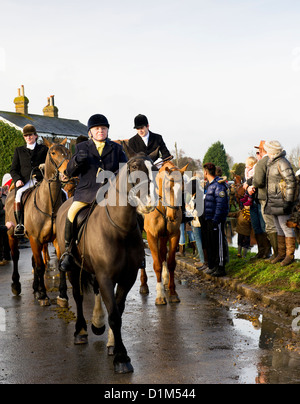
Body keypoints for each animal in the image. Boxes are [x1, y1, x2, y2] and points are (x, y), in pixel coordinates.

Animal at [5, 140, 69, 306]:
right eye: (53, 153)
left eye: (67, 151)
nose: (67, 172)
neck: (49, 204)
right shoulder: (35, 239)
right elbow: (40, 267)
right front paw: (42, 295)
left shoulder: (55, 239)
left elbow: (58, 265)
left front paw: (62, 295)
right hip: (12, 235)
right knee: (16, 256)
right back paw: (16, 285)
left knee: (34, 260)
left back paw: (35, 288)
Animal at [54, 152, 156, 376]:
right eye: (133, 168)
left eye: (154, 169)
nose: (149, 202)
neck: (120, 229)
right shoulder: (105, 276)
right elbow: (115, 316)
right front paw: (121, 358)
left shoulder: (127, 277)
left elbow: (117, 310)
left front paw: (114, 346)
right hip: (73, 268)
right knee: (79, 296)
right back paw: (81, 331)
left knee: (96, 292)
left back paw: (97, 323)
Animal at [142, 159, 189, 304]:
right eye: (168, 187)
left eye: (183, 189)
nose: (172, 216)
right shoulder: (151, 236)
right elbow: (157, 263)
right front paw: (160, 295)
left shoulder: (174, 235)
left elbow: (171, 262)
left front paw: (172, 292)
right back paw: (144, 285)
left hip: (163, 236)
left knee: (163, 253)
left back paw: (165, 279)